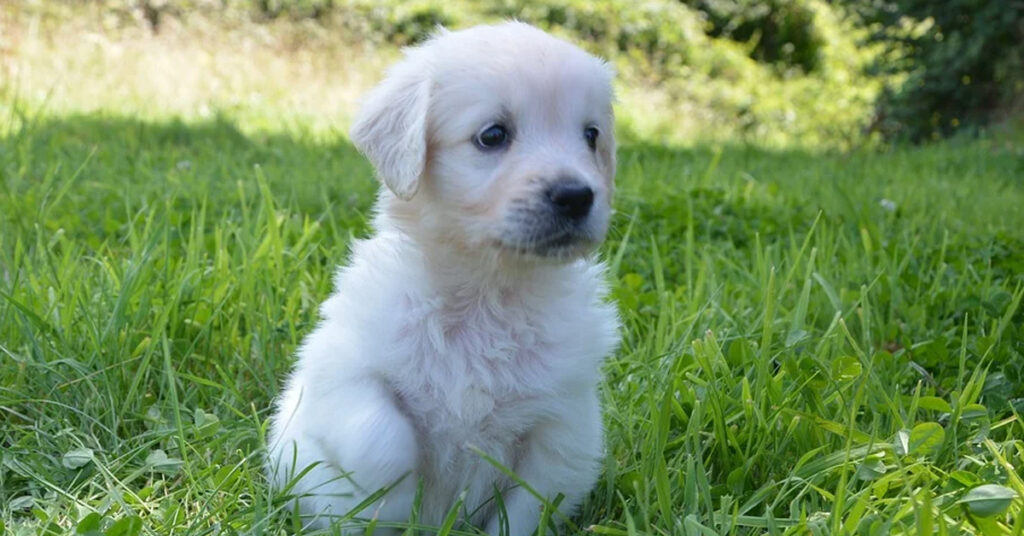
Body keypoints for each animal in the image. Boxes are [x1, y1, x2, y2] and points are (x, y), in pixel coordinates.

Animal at [266, 22, 614, 536]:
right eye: (493, 135)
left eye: (591, 136)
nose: (576, 195)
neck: (487, 295)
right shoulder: (341, 370)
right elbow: (383, 439)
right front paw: (391, 505)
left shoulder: (563, 425)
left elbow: (528, 505)